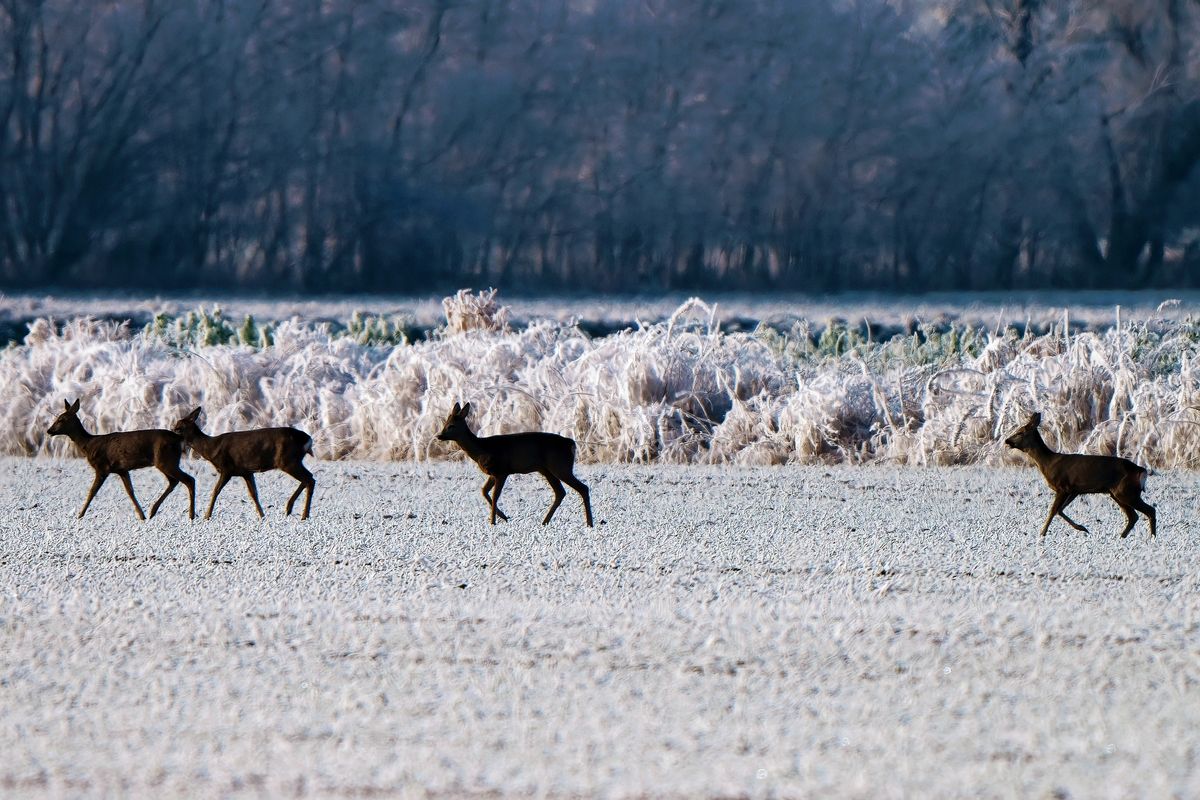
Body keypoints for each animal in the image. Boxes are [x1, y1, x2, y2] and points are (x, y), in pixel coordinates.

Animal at [46, 398, 195, 522]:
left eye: (61, 419)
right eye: (57, 418)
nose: (49, 430)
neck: (88, 445)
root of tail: (178, 438)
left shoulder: (102, 467)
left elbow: (92, 492)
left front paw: (80, 515)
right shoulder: (122, 469)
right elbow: (130, 491)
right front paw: (141, 515)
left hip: (166, 460)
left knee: (189, 480)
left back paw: (191, 515)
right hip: (167, 461)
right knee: (174, 481)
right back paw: (153, 511)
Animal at [172, 407, 319, 520]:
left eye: (178, 428)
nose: (171, 433)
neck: (211, 448)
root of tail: (308, 439)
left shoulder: (227, 469)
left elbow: (215, 491)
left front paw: (207, 516)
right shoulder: (246, 472)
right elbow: (253, 494)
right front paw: (262, 516)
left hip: (288, 460)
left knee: (309, 479)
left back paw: (303, 515)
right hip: (293, 461)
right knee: (309, 478)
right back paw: (289, 509)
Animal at [439, 402, 592, 527]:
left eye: (451, 426)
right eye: (445, 424)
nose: (438, 436)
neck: (482, 450)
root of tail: (571, 443)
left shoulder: (502, 471)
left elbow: (495, 495)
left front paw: (493, 522)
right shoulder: (493, 473)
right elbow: (484, 491)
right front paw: (503, 517)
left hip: (560, 466)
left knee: (583, 488)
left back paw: (589, 523)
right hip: (547, 470)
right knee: (560, 492)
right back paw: (544, 521)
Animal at [1003, 412, 1152, 537]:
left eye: (1020, 432)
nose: (1006, 440)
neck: (1048, 463)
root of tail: (1141, 470)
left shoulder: (1062, 487)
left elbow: (1053, 510)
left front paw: (1042, 534)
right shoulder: (1074, 490)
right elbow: (1060, 510)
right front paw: (1082, 528)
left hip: (1127, 491)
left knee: (1149, 511)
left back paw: (1151, 538)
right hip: (1117, 493)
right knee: (1133, 516)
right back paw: (1123, 537)